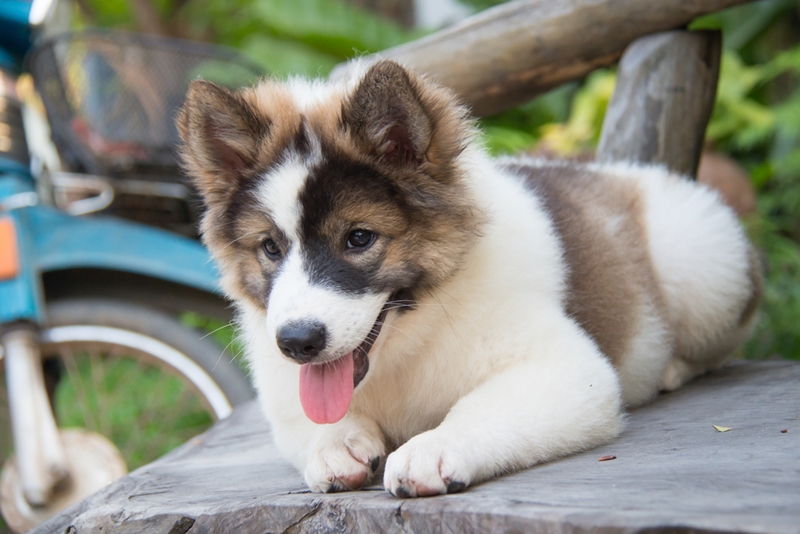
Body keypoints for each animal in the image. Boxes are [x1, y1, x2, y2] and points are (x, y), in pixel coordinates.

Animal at [177, 58, 764, 498]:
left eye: (359, 239)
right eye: (270, 248)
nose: (297, 343)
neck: (407, 345)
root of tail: (618, 171)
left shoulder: (568, 369)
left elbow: (480, 406)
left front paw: (435, 448)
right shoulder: (285, 393)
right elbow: (312, 423)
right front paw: (335, 444)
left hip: (707, 272)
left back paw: (673, 368)